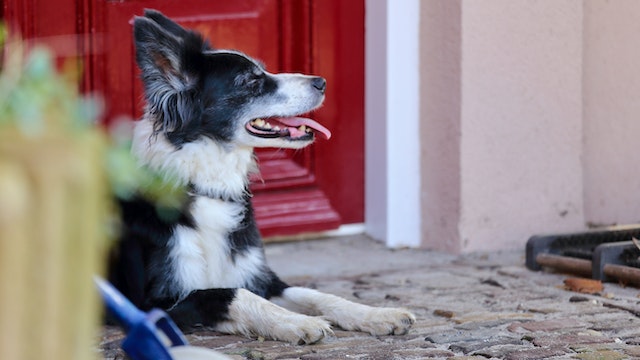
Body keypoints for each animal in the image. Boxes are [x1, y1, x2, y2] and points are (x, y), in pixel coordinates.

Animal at [110, 9, 416, 344]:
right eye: (250, 81)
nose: (321, 82)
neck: (208, 184)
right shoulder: (153, 303)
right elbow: (233, 294)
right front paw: (298, 322)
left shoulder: (261, 277)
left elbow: (316, 295)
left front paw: (377, 314)